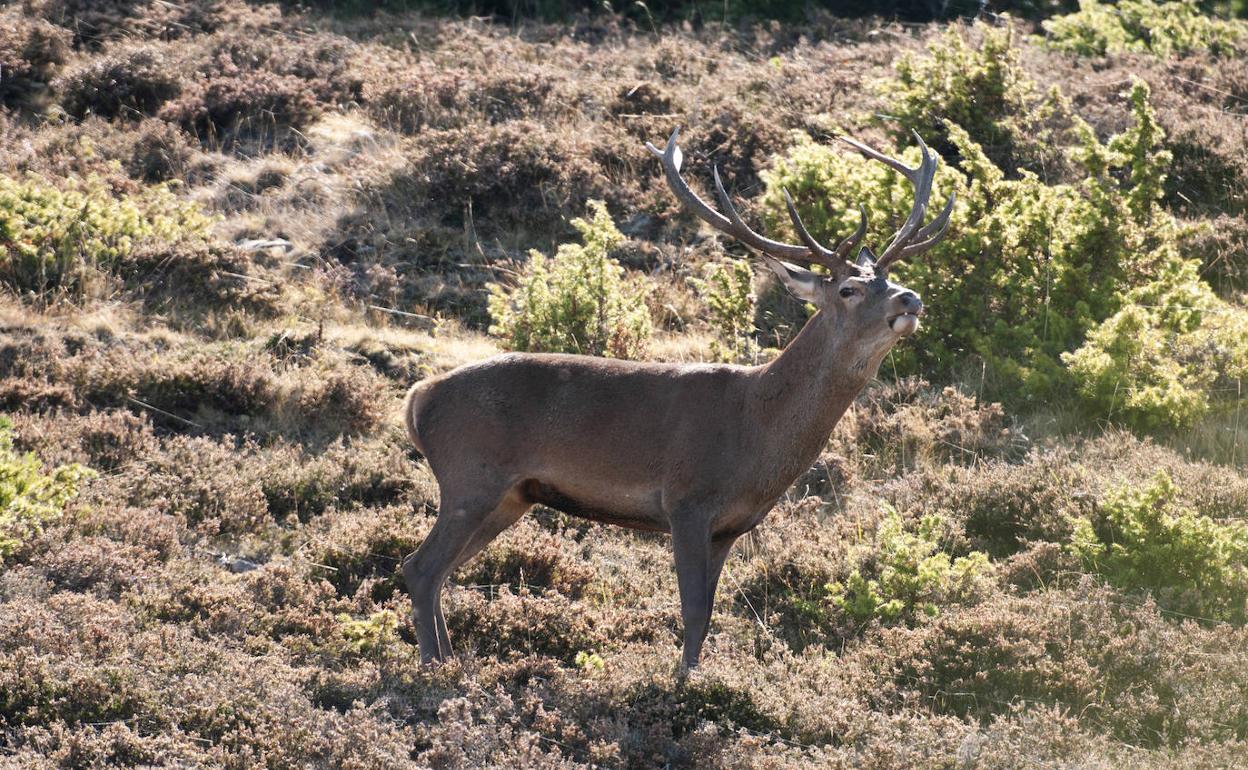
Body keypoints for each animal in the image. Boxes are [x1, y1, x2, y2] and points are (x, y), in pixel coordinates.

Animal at [401, 126, 953, 668]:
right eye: (848, 290)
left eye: (892, 280)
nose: (910, 299)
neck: (758, 436)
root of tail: (417, 399)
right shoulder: (686, 500)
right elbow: (690, 611)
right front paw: (685, 683)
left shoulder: (730, 527)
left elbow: (707, 614)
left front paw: (697, 675)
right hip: (470, 476)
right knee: (420, 567)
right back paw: (433, 670)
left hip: (510, 497)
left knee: (436, 569)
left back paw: (450, 661)